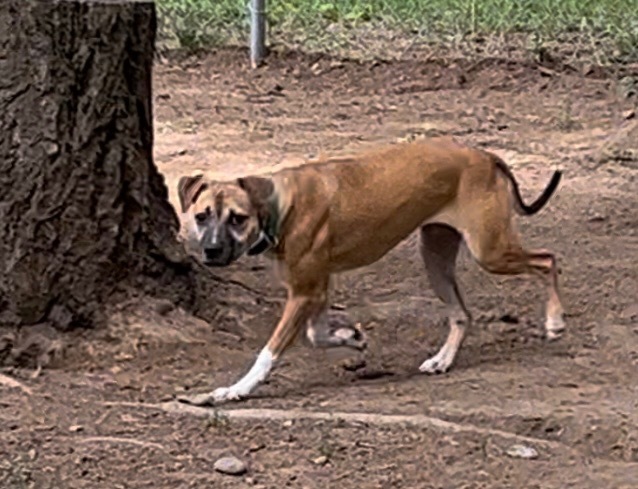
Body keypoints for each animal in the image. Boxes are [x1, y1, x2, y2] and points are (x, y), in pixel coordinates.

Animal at [178, 136, 568, 404]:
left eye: (237, 219)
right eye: (202, 216)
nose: (211, 251)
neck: (279, 205)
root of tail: (485, 155)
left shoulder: (304, 293)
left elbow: (269, 352)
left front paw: (237, 389)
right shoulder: (316, 289)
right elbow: (316, 334)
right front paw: (351, 337)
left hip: (490, 250)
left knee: (547, 260)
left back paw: (555, 322)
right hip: (435, 258)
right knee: (461, 314)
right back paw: (442, 360)